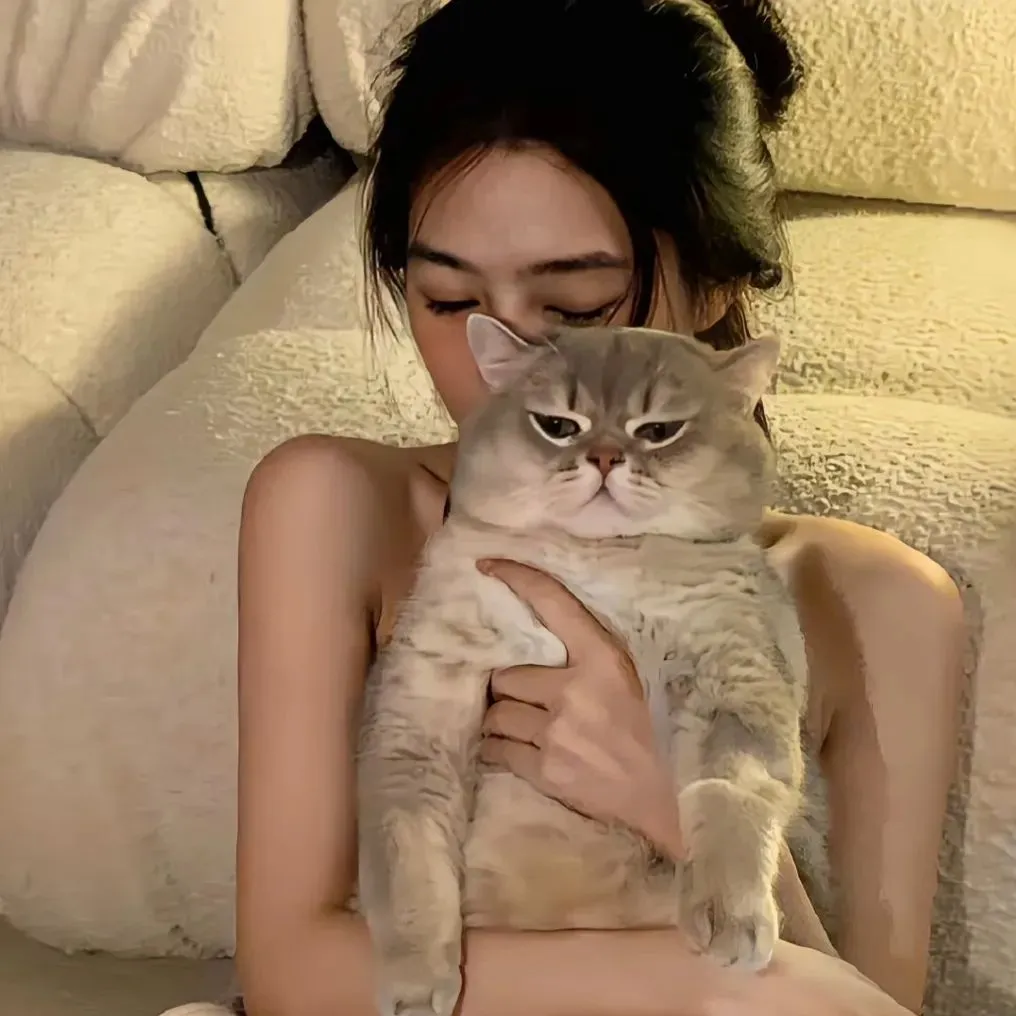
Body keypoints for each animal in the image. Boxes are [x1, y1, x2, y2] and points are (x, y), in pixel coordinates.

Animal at [356, 314, 833, 1016]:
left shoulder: (735, 669)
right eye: (558, 424)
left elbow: (730, 790)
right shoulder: (424, 699)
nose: (605, 458)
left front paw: (730, 910)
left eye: (659, 431)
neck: (596, 562)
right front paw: (416, 978)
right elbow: (408, 845)